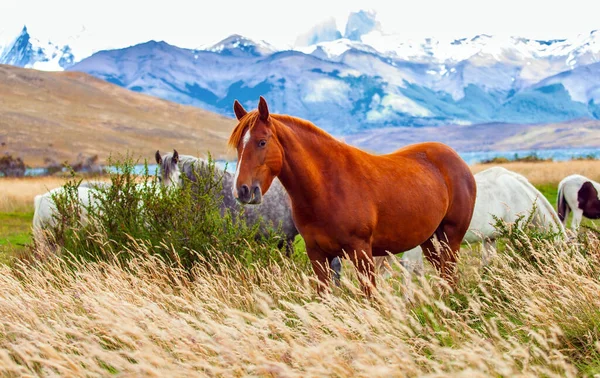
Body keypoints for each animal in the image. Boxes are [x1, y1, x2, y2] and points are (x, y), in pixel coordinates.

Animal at [227, 96, 476, 296]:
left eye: (262, 142)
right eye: (239, 146)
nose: (242, 190)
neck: (326, 188)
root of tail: (457, 161)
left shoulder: (361, 253)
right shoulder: (317, 255)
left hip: (451, 238)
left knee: (450, 274)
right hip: (430, 240)